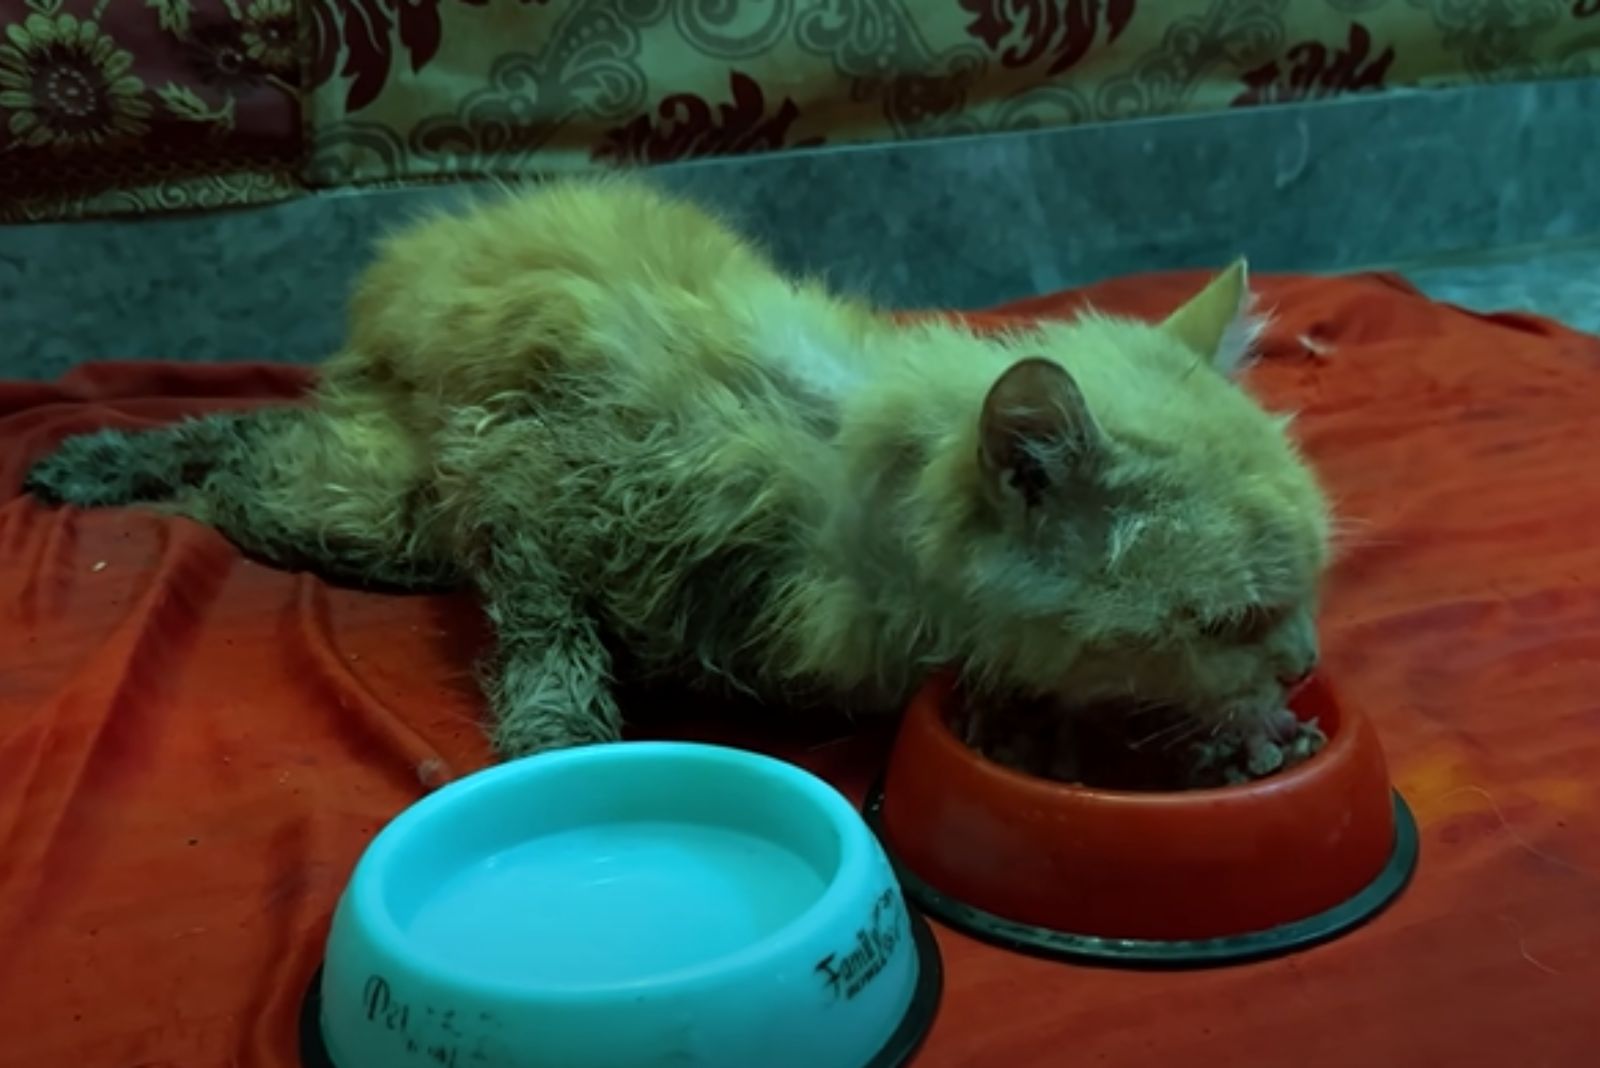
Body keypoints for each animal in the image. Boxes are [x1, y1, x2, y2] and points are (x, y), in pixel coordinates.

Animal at [21, 179, 1324, 754]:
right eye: (1235, 618)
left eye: (1310, 599)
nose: (1308, 663)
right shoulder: (517, 485)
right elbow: (551, 637)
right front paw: (562, 742)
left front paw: (1244, 735)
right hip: (366, 505)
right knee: (242, 448)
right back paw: (100, 463)